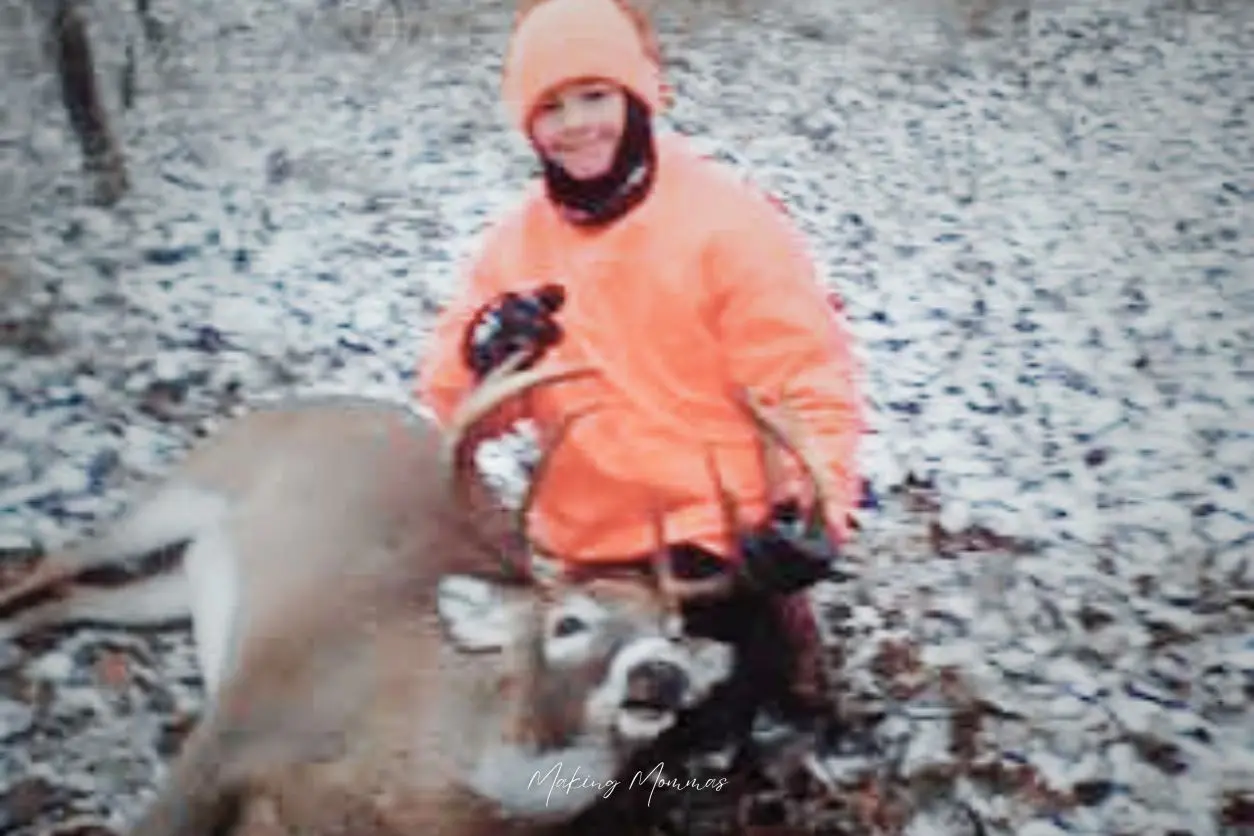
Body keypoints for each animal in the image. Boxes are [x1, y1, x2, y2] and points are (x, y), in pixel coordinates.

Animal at [2, 350, 842, 832]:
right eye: (567, 622)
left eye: (673, 633)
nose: (659, 674)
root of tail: (326, 399)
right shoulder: (241, 724)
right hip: (189, 487)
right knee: (59, 559)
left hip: (178, 583)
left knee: (76, 597)